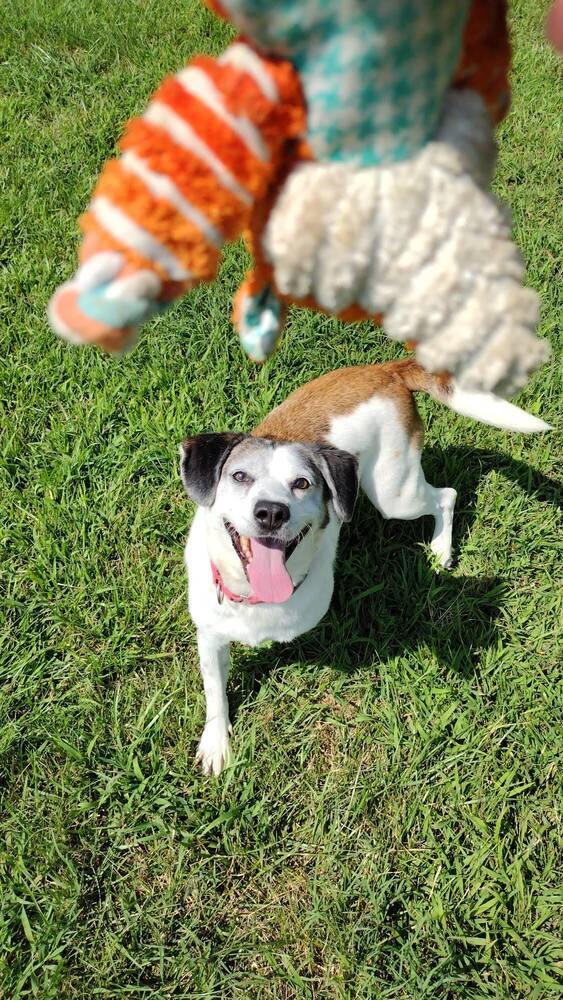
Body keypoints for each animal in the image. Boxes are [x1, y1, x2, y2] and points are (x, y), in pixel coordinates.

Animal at [181, 360, 552, 772]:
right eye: (240, 476)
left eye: (302, 484)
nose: (272, 512)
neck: (254, 595)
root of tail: (388, 369)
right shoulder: (210, 637)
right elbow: (215, 694)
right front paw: (216, 744)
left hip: (395, 494)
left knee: (446, 495)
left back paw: (440, 549)